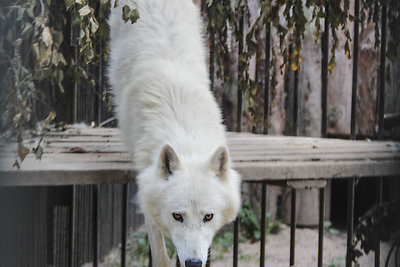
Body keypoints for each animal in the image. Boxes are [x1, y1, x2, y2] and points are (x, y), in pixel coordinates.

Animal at [108, 1, 241, 266]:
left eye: (208, 217)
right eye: (177, 216)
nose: (193, 263)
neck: (184, 134)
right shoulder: (146, 186)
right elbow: (159, 253)